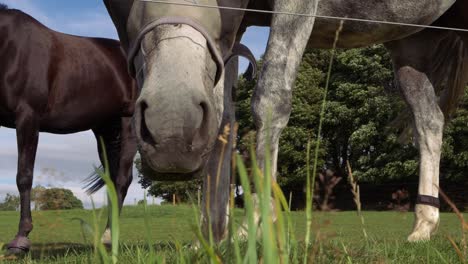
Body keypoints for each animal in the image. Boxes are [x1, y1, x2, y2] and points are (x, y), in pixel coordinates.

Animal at [0, 3, 138, 253]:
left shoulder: (27, 117)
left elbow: (24, 175)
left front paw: (21, 239)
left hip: (128, 124)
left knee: (122, 180)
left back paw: (109, 236)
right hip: (105, 131)